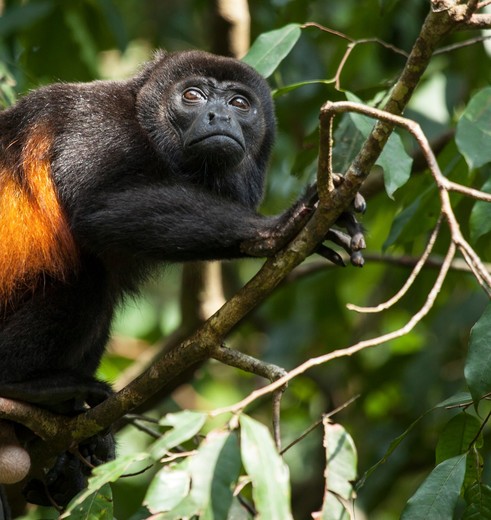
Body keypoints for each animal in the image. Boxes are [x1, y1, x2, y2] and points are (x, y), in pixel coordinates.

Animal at [0, 48, 362, 512]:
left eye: (240, 103)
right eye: (192, 95)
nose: (218, 115)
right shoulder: (97, 126)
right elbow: (100, 207)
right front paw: (280, 227)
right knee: (88, 281)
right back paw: (22, 383)